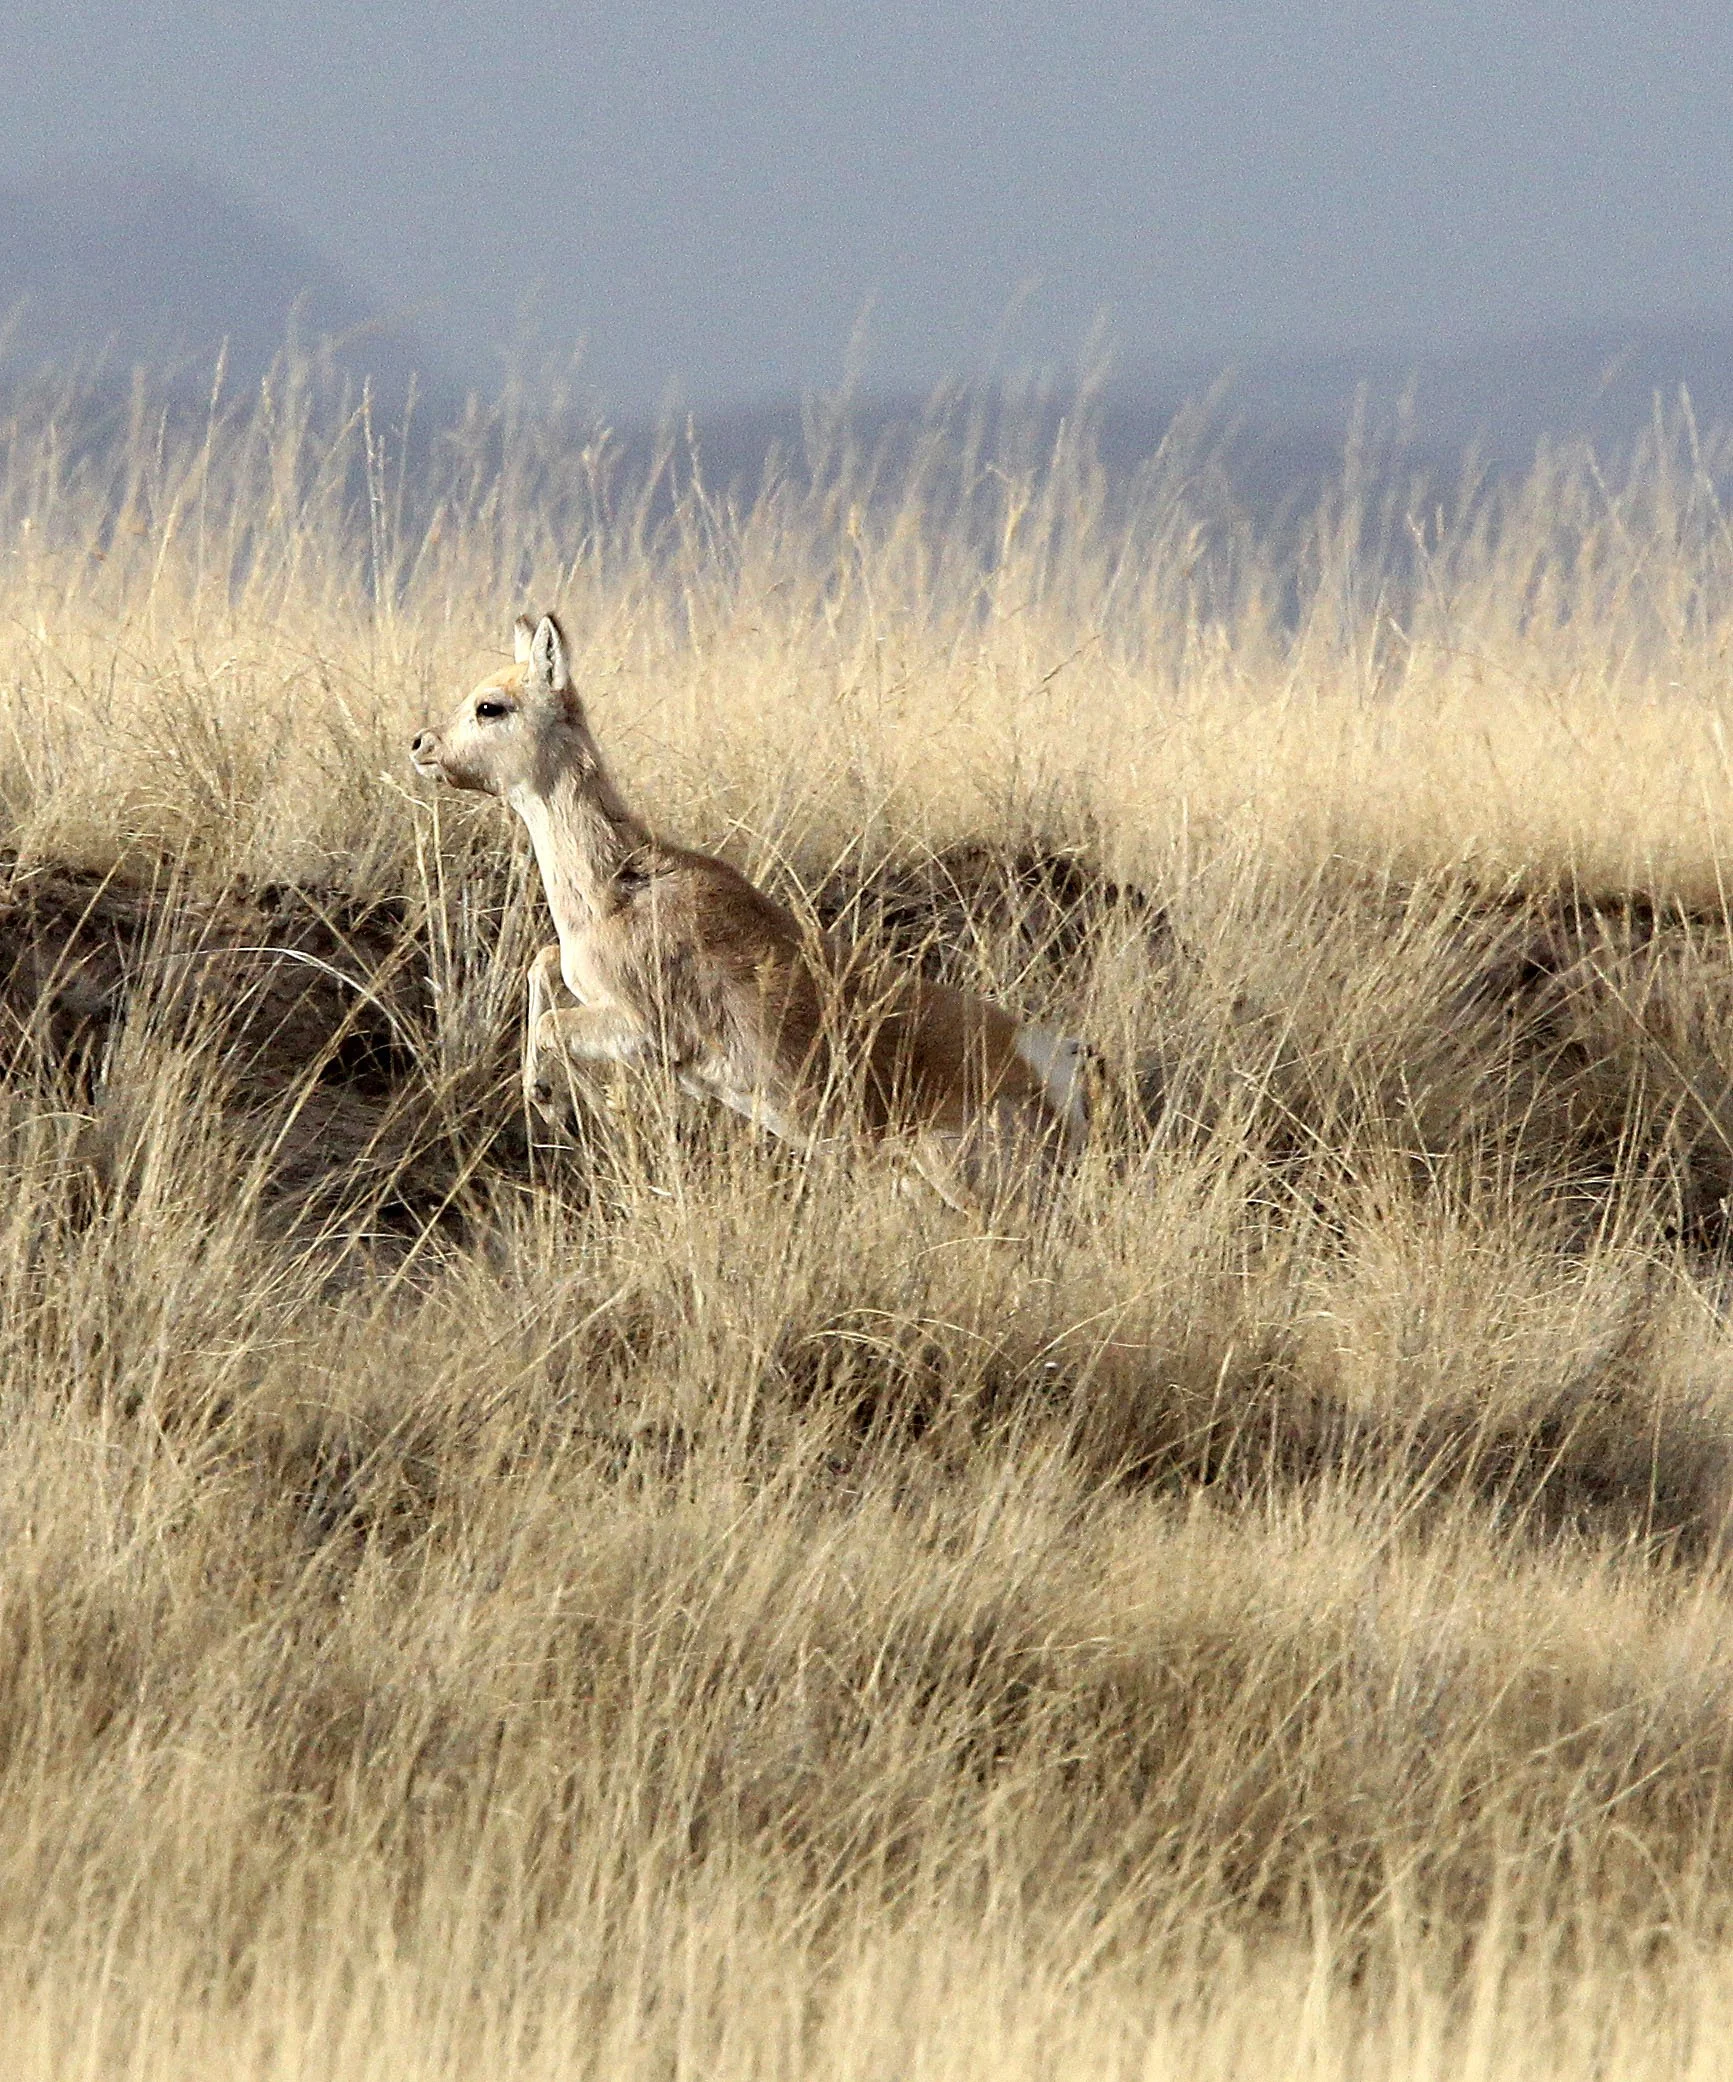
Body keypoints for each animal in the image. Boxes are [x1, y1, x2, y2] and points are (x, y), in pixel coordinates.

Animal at [409, 613, 1092, 1211]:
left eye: (491, 706)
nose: (420, 744)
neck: (621, 886)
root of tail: (1051, 1059)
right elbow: (543, 964)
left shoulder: (644, 1033)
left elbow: (553, 1023)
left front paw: (552, 1100)